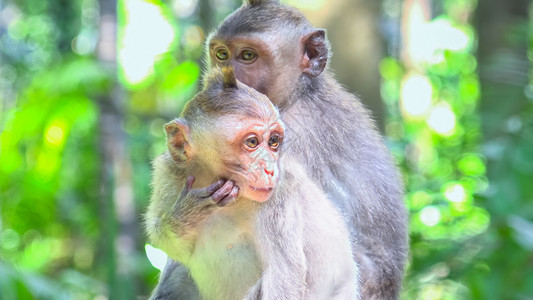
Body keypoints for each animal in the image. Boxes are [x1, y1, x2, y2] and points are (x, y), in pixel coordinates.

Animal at [144, 66, 358, 300]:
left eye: (273, 141)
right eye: (252, 142)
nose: (270, 169)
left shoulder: (280, 193)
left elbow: (283, 273)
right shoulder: (168, 172)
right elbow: (170, 245)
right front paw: (188, 213)